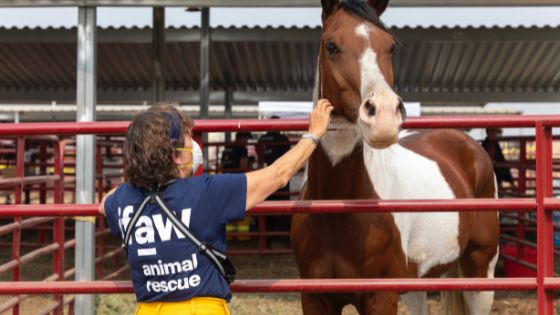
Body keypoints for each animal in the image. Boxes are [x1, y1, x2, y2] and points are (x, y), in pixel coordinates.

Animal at [288, 1, 498, 314]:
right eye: (331, 46)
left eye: (391, 47)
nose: (384, 115)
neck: (337, 208)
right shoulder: (315, 298)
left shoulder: (382, 296)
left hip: (480, 271)